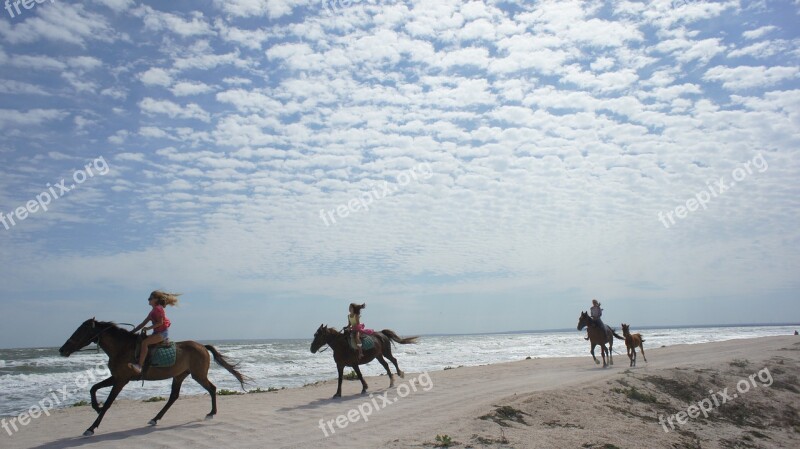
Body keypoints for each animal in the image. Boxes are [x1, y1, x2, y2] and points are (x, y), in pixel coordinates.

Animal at [60, 316, 247, 436]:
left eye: (80, 331)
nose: (62, 350)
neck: (122, 347)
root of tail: (202, 346)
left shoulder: (121, 380)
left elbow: (108, 403)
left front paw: (92, 427)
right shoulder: (117, 377)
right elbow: (93, 388)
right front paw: (96, 407)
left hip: (198, 375)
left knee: (212, 388)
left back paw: (211, 413)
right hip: (180, 375)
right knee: (174, 397)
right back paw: (155, 419)